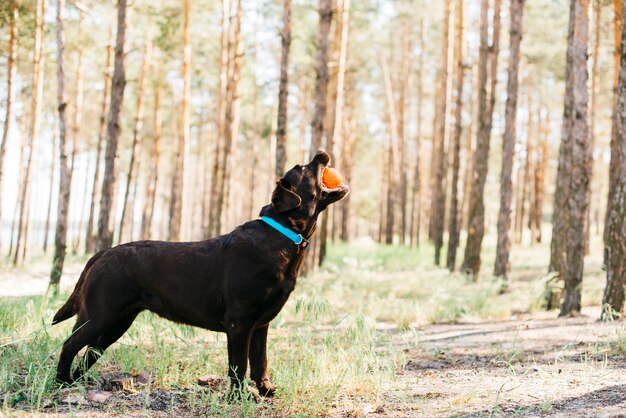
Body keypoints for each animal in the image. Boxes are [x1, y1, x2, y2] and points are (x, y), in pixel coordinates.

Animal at [52, 150, 346, 396]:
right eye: (304, 168)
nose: (321, 152)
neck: (283, 233)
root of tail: (103, 253)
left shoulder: (261, 324)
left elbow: (260, 362)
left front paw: (266, 391)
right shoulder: (239, 323)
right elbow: (239, 366)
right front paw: (238, 398)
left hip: (118, 320)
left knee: (90, 350)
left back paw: (77, 381)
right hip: (100, 315)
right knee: (70, 344)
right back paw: (62, 382)